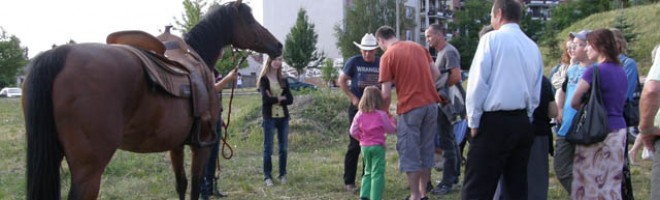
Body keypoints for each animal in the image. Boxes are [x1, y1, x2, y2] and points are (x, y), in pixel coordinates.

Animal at [22, 0, 282, 199]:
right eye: (250, 21)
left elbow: (181, 184)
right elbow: (196, 187)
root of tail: (59, 54)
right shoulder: (202, 146)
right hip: (89, 170)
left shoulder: (176, 145)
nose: (278, 45)